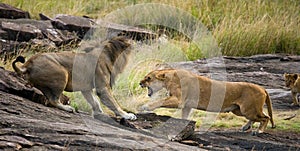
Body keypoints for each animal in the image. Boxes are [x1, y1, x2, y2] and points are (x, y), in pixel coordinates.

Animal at [139, 69, 276, 134]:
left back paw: (259, 131)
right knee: (258, 117)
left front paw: (145, 107)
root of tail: (262, 88)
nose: (140, 83)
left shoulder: (179, 100)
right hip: (239, 110)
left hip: (247, 109)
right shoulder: (187, 105)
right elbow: (184, 116)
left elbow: (160, 101)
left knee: (266, 117)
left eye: (148, 78)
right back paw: (245, 127)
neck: (169, 78)